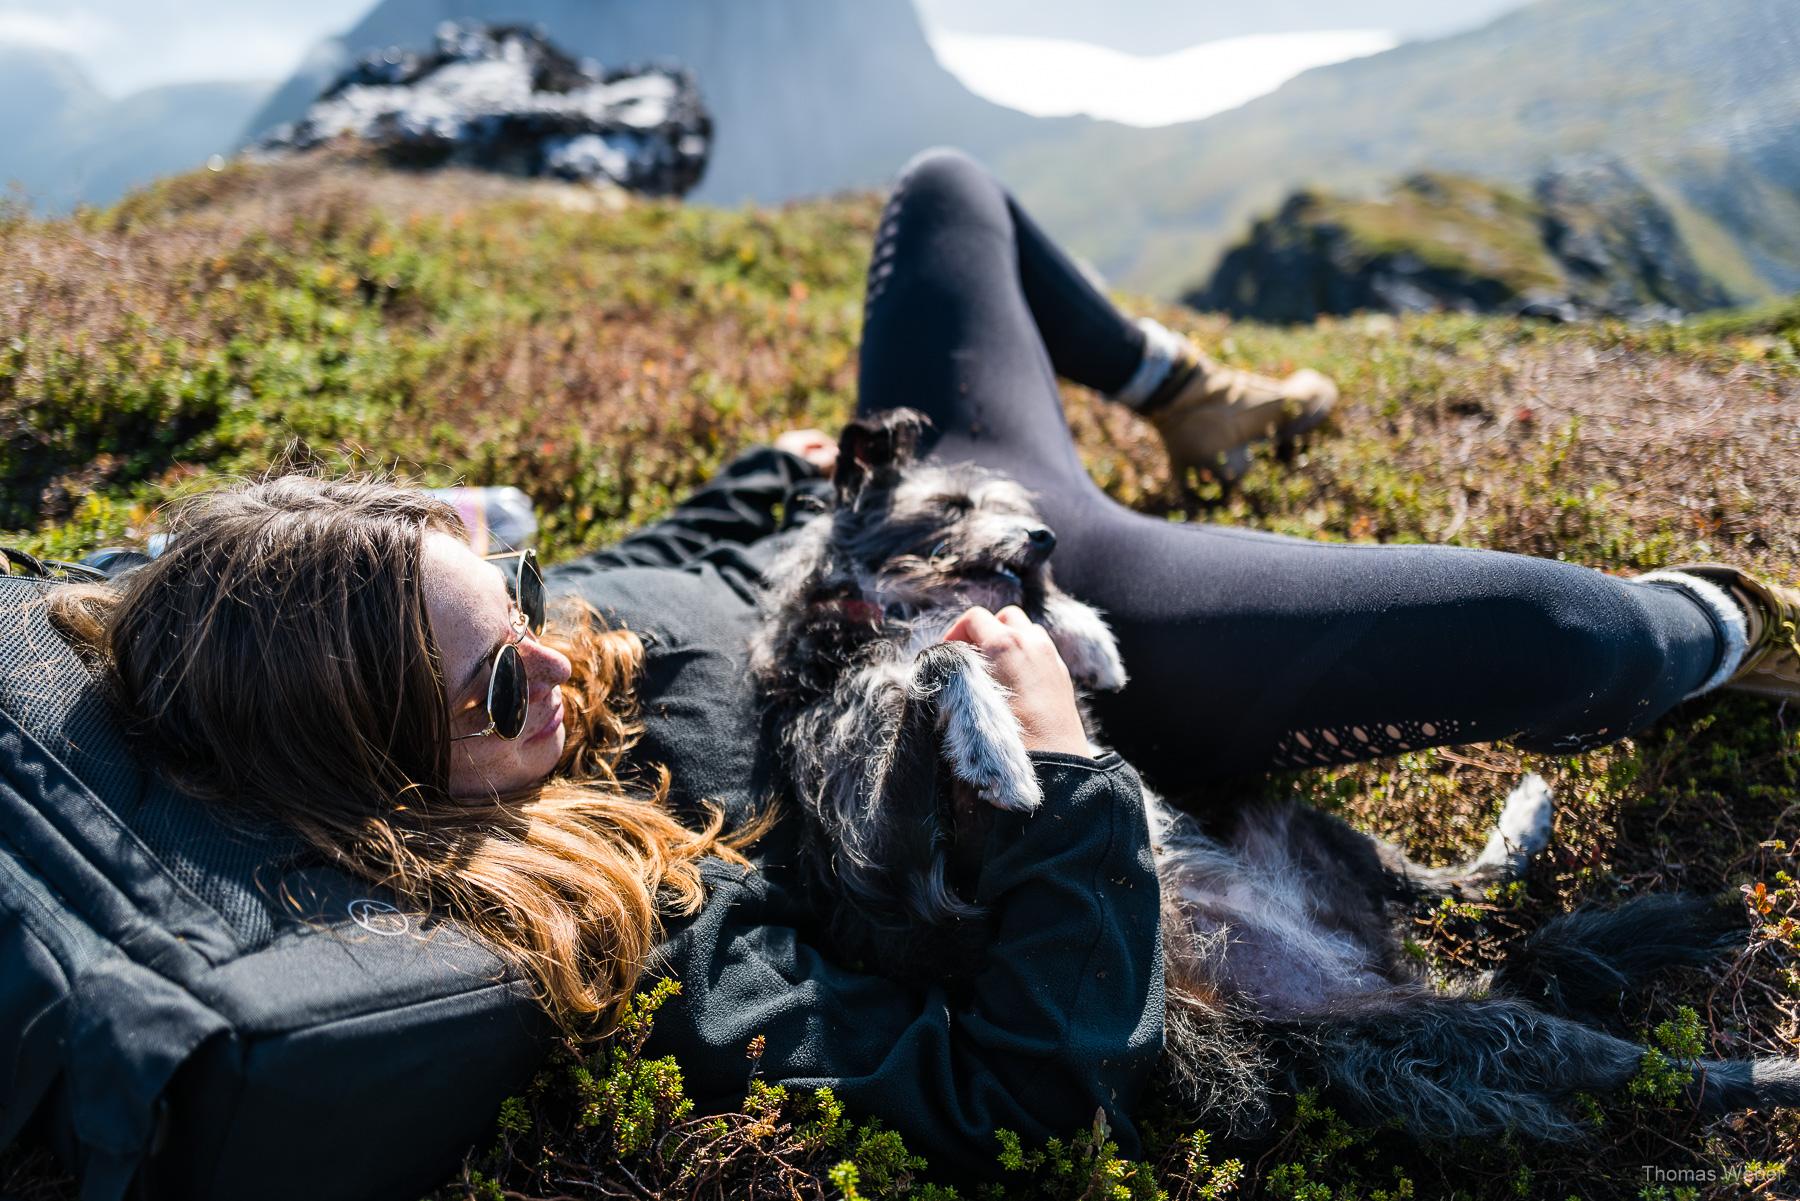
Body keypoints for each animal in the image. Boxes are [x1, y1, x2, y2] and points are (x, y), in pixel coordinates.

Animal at [752, 410, 1800, 1145]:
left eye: (1009, 505)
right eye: (949, 508)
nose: (1045, 537)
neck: (892, 608)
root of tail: (1365, 961)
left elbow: (1017, 629)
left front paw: (1087, 636)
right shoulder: (889, 859)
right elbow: (944, 661)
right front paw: (1001, 751)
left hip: (1309, 829)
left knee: (1457, 884)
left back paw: (1529, 819)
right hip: (1454, 1028)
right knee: (1644, 1068)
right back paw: (1768, 1075)